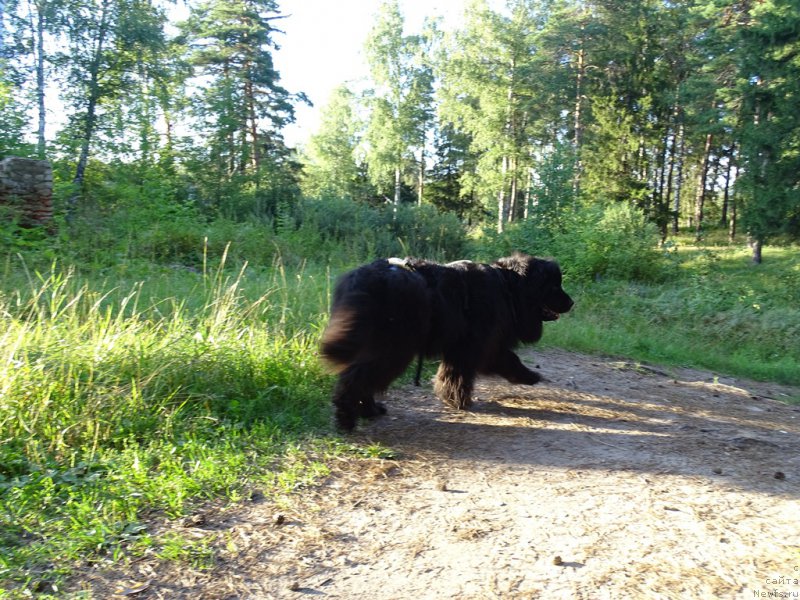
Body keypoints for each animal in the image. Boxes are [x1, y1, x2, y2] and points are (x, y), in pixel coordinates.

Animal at [320, 253, 576, 432]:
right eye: (554, 285)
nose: (572, 302)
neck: (508, 287)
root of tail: (364, 279)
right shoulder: (474, 345)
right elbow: (476, 369)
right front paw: (461, 400)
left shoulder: (472, 346)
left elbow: (486, 363)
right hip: (394, 347)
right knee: (357, 378)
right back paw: (347, 418)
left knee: (359, 376)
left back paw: (369, 410)